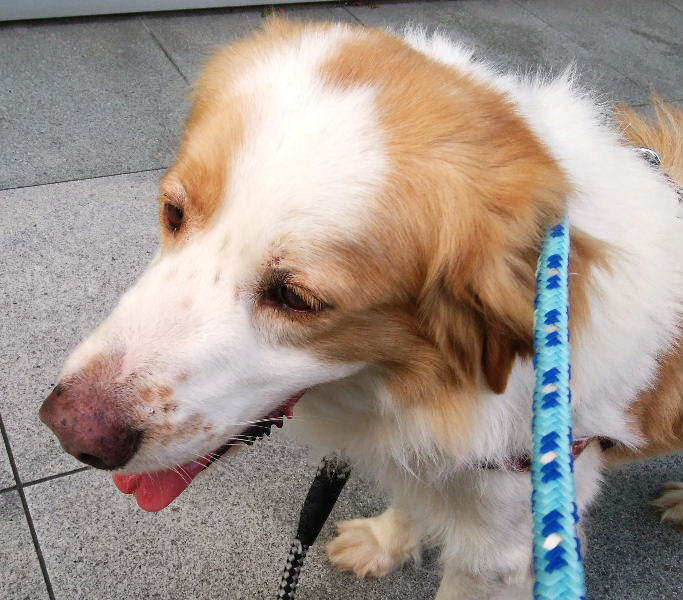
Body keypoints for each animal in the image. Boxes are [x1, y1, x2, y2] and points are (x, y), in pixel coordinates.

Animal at [39, 20, 683, 599]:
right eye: (173, 213)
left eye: (296, 299)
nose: (70, 432)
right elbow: (411, 497)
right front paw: (385, 543)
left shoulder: (506, 545)